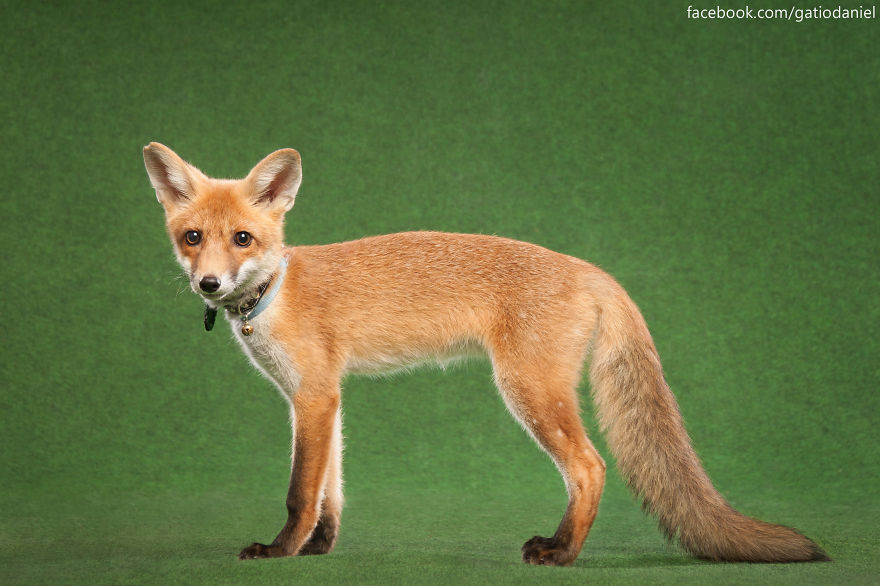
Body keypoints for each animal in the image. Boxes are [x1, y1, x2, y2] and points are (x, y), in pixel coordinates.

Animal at [143, 142, 829, 566]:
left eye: (243, 238)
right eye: (193, 237)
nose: (209, 284)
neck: (272, 293)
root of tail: (589, 269)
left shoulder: (312, 396)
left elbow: (298, 493)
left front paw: (280, 552)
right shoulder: (324, 400)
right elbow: (329, 493)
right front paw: (318, 549)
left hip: (528, 391)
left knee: (590, 468)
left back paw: (562, 554)